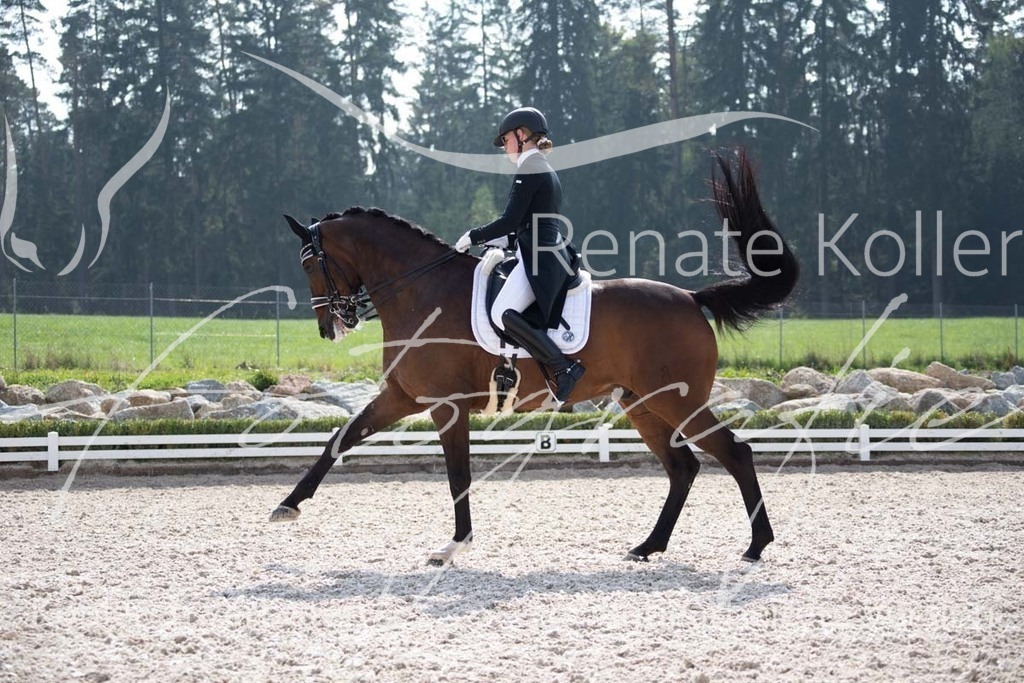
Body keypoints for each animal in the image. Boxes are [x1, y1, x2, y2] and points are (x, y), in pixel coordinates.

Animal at [271, 149, 799, 566]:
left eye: (307, 262)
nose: (330, 327)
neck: (420, 288)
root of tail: (691, 298)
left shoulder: (446, 405)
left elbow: (458, 474)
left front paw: (453, 546)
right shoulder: (402, 396)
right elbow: (340, 439)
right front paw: (288, 505)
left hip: (678, 401)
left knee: (734, 452)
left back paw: (756, 545)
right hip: (643, 404)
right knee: (683, 467)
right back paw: (649, 546)